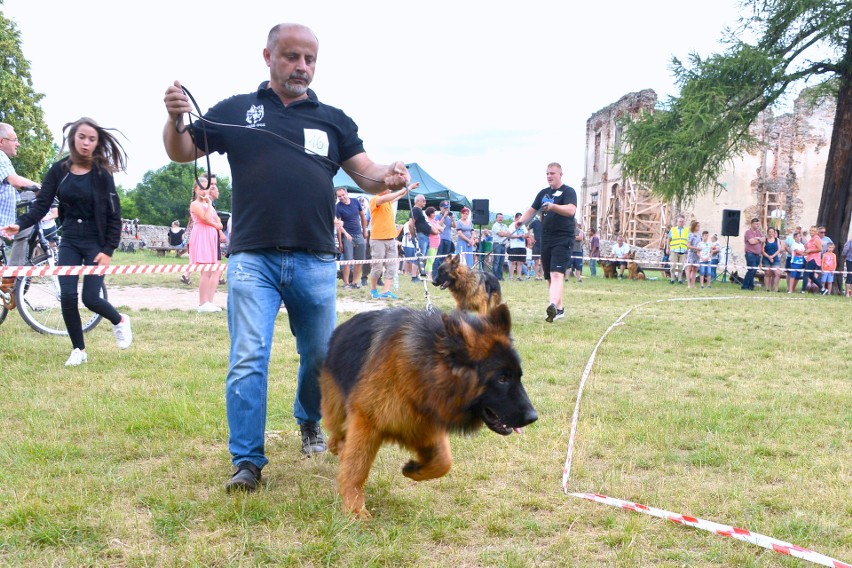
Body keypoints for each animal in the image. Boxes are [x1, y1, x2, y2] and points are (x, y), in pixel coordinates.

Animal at [320, 306, 540, 520]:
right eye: (502, 378)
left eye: (518, 376)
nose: (533, 417)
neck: (424, 371)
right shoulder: (367, 422)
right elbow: (356, 469)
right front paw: (354, 508)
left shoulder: (423, 423)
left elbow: (444, 462)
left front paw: (415, 469)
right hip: (339, 410)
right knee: (337, 435)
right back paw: (338, 447)